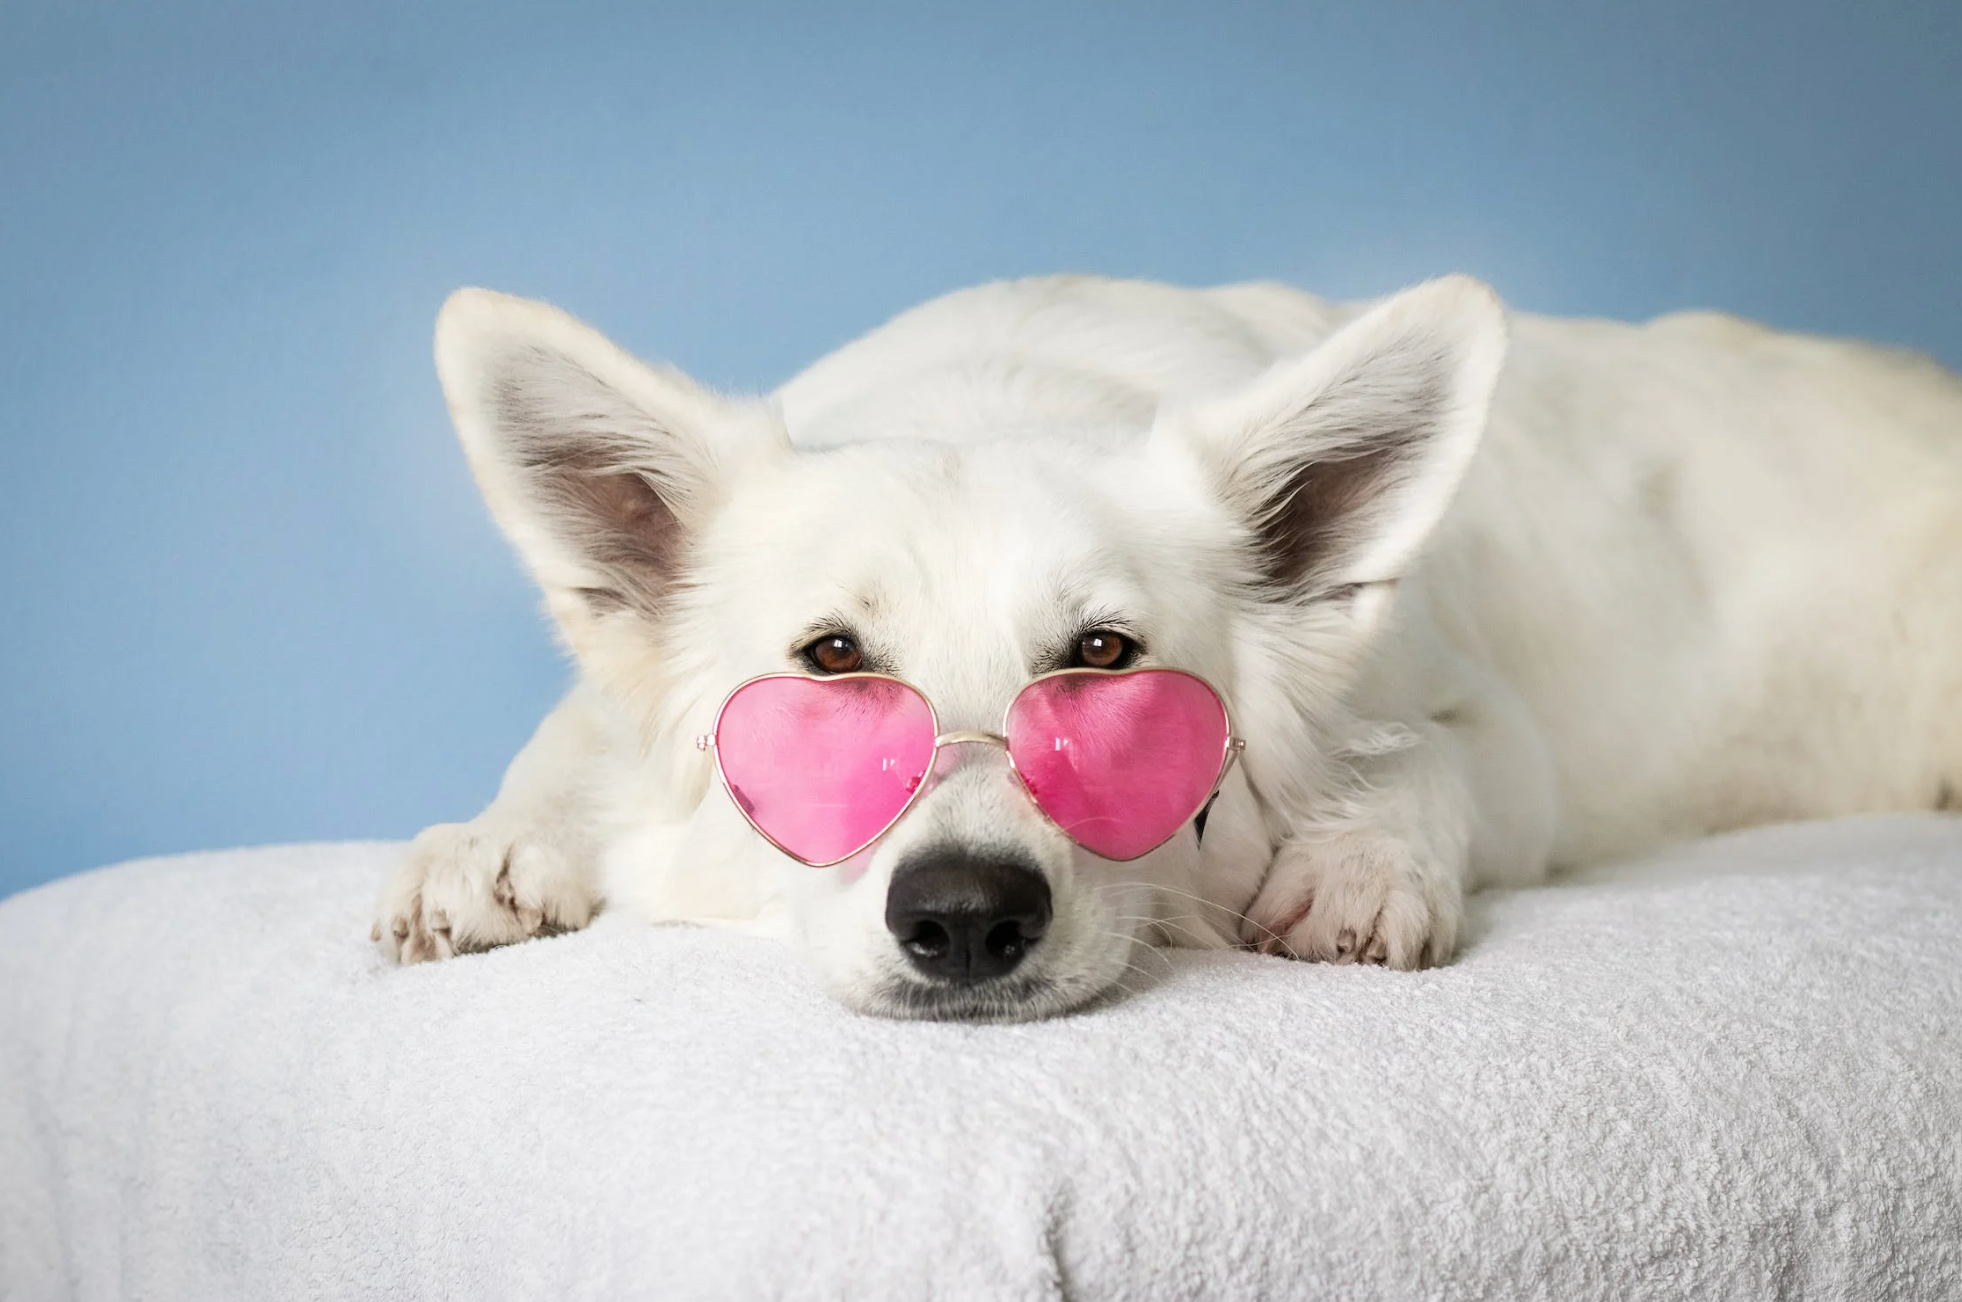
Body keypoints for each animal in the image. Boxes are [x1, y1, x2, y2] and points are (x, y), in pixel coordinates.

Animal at [370, 274, 1962, 1019]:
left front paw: (1358, 860)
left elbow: (1425, 768)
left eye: (1103, 657)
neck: (1003, 386)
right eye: (830, 664)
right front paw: (488, 842)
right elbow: (566, 744)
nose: (964, 920)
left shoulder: (1504, 739)